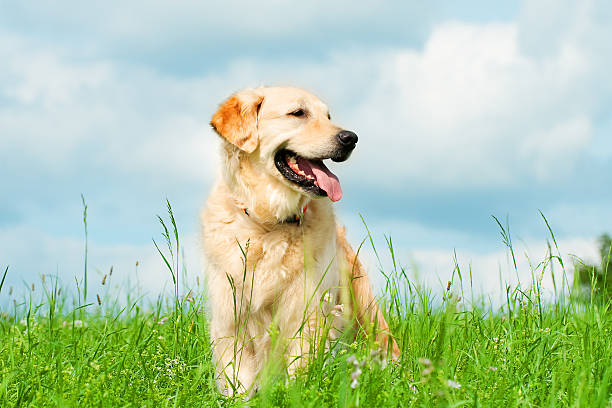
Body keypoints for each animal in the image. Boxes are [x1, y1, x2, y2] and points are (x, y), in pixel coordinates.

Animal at [202, 86, 402, 396]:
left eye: (328, 116)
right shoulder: (230, 318)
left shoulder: (306, 314)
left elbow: (299, 371)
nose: (351, 138)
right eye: (298, 113)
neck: (269, 224)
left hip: (367, 316)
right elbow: (237, 379)